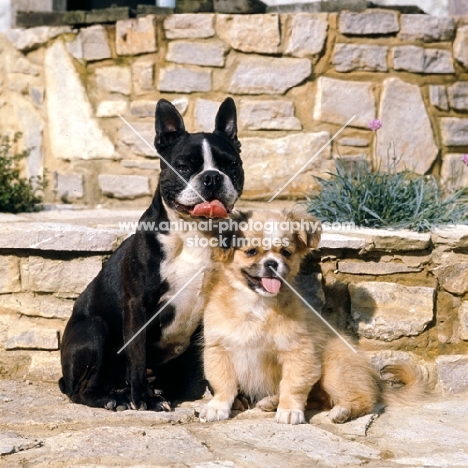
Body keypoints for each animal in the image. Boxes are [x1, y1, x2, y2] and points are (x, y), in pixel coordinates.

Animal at [59, 98, 245, 410]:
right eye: (183, 166)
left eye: (231, 165)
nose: (211, 177)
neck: (193, 234)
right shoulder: (138, 305)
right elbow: (137, 353)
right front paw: (144, 399)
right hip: (94, 330)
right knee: (79, 389)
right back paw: (114, 398)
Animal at [199, 208, 426, 424]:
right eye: (251, 251)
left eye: (286, 252)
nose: (272, 263)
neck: (256, 305)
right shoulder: (218, 349)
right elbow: (224, 384)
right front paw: (217, 407)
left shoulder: (299, 352)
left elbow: (293, 384)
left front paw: (289, 411)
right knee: (318, 400)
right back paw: (272, 402)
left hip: (334, 371)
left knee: (364, 399)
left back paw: (342, 411)